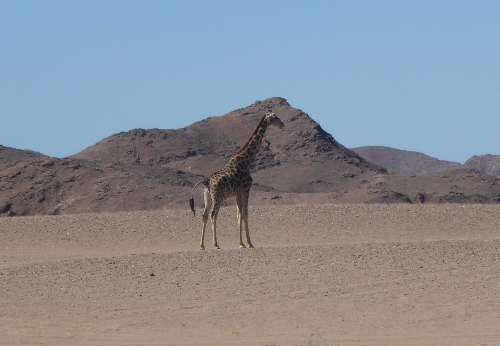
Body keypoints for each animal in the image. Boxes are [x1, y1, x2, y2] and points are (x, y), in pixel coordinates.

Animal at [189, 110, 286, 249]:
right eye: (275, 117)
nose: (282, 124)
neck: (247, 162)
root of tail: (206, 181)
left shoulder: (238, 193)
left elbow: (239, 215)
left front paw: (241, 243)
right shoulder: (246, 189)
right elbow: (245, 215)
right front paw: (249, 243)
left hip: (207, 197)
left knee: (204, 215)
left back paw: (202, 245)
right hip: (218, 197)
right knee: (213, 215)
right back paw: (216, 244)